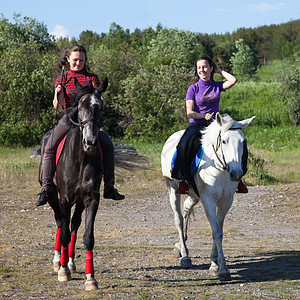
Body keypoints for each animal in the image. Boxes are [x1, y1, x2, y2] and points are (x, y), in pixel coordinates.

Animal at [38, 77, 107, 290]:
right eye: (80, 107)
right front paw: (62, 271)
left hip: (79, 201)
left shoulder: (91, 199)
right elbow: (65, 232)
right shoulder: (64, 198)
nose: (90, 141)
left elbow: (87, 236)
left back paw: (70, 261)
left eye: (100, 107)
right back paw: (58, 260)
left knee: (74, 224)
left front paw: (90, 278)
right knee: (61, 222)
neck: (81, 158)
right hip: (53, 197)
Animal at [162, 112, 255, 282]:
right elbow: (216, 232)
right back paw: (185, 256)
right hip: (172, 189)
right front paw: (222, 269)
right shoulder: (208, 200)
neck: (220, 170)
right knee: (178, 219)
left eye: (243, 142)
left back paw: (181, 245)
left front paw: (214, 263)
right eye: (224, 141)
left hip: (194, 195)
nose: (236, 174)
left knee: (186, 210)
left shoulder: (226, 202)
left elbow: (219, 229)